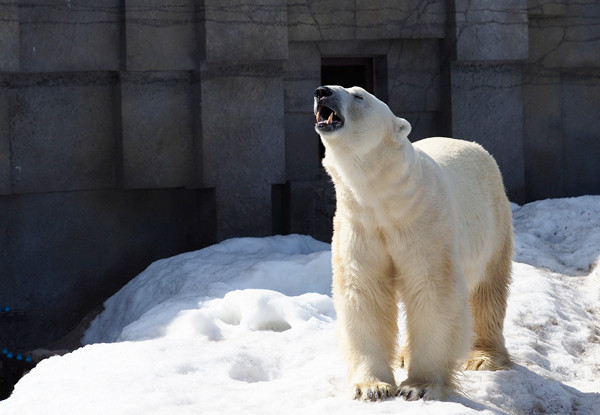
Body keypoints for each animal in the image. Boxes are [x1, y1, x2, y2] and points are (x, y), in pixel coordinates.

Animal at [312, 86, 512, 402]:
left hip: (493, 222)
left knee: (487, 291)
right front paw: (372, 387)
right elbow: (364, 292)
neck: (383, 198)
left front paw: (419, 385)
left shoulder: (423, 222)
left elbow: (432, 290)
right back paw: (405, 354)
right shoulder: (360, 225)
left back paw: (483, 356)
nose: (322, 92)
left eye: (358, 95)